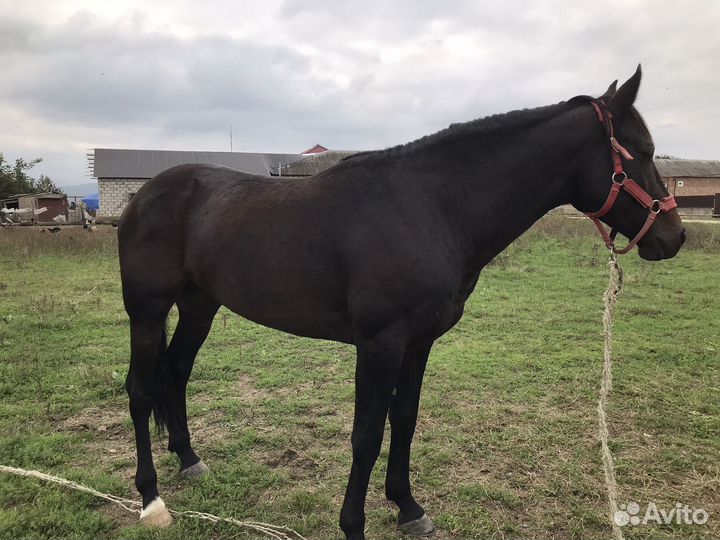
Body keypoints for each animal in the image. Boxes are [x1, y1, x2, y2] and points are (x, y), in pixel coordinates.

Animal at [118, 66, 685, 539]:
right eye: (642, 150)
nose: (674, 237)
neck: (432, 207)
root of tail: (143, 196)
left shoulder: (419, 342)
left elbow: (405, 419)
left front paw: (409, 508)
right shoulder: (380, 343)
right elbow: (367, 433)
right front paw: (354, 524)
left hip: (199, 305)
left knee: (177, 373)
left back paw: (189, 459)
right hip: (146, 311)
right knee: (141, 390)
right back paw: (151, 498)